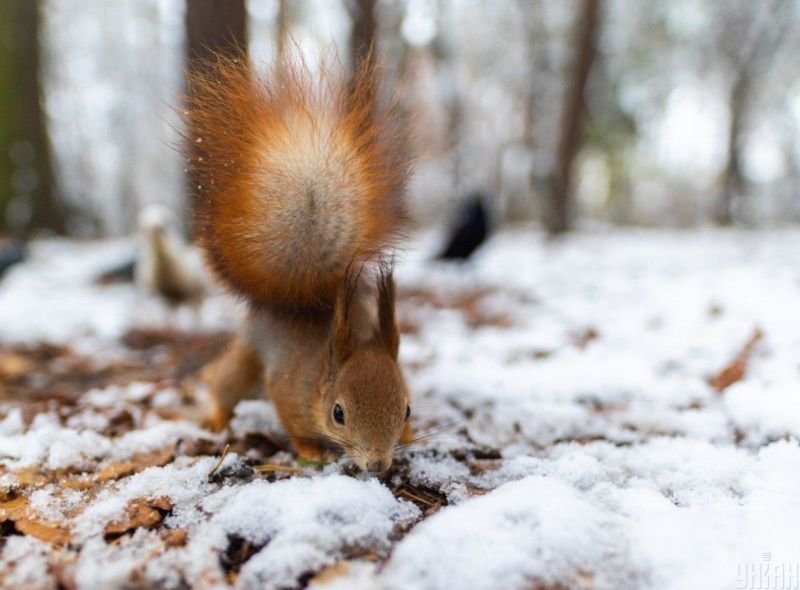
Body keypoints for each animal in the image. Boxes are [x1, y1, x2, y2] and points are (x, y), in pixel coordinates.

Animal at [184, 52, 412, 476]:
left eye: (406, 409)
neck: (323, 372)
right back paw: (216, 418)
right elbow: (294, 427)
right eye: (339, 413)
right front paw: (312, 452)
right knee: (224, 383)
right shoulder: (288, 390)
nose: (377, 465)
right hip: (248, 358)